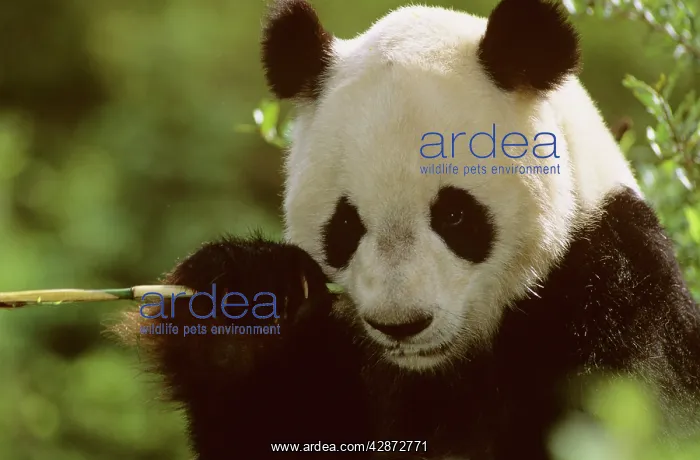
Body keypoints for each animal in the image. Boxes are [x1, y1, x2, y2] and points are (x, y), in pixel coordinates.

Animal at [116, 0, 700, 459]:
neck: (441, 369)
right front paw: (241, 302)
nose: (401, 325)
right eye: (345, 223)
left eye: (455, 215)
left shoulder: (614, 291)